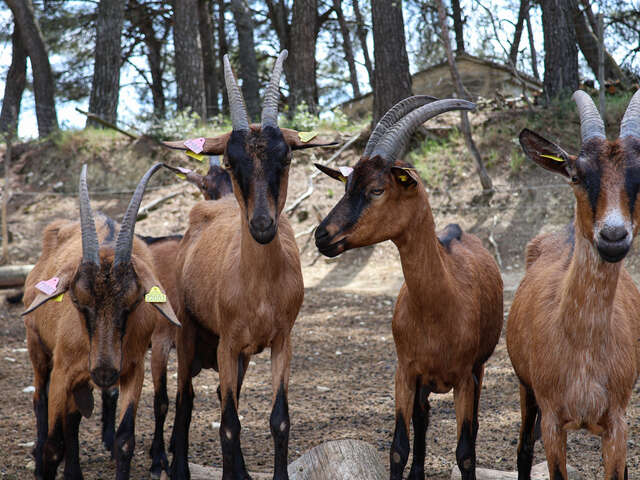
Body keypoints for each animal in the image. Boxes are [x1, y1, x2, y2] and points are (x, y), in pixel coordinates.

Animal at [22, 163, 180, 478]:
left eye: (133, 303)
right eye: (77, 301)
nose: (105, 372)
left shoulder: (132, 370)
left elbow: (124, 440)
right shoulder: (63, 371)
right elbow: (53, 445)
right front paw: (45, 462)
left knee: (73, 420)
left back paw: (74, 471)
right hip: (37, 348)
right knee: (40, 400)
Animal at [161, 50, 336, 478]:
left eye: (286, 156)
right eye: (228, 158)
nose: (261, 225)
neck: (258, 288)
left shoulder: (281, 341)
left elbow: (278, 420)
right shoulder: (226, 344)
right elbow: (227, 424)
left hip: (239, 355)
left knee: (225, 395)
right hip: (190, 334)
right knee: (186, 401)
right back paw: (180, 468)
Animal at [312, 96, 502, 480]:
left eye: (376, 189)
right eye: (346, 186)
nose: (322, 235)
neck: (439, 306)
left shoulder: (464, 378)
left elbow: (465, 452)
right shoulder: (405, 372)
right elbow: (399, 447)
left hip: (478, 370)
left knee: (469, 427)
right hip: (423, 382)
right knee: (422, 418)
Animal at [510, 91, 640, 480]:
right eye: (576, 175)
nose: (613, 236)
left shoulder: (617, 422)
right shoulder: (553, 420)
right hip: (526, 390)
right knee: (523, 448)